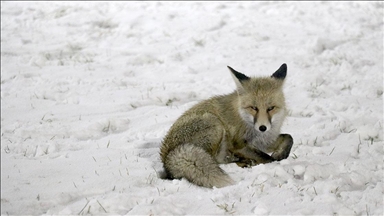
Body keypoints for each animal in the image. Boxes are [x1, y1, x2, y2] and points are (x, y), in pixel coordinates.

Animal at [160, 63, 292, 188]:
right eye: (253, 108)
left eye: (271, 108)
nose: (262, 128)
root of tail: (166, 158)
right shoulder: (238, 145)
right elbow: (267, 158)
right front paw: (273, 160)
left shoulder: (265, 141)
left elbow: (288, 137)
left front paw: (281, 153)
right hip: (215, 124)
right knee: (217, 160)